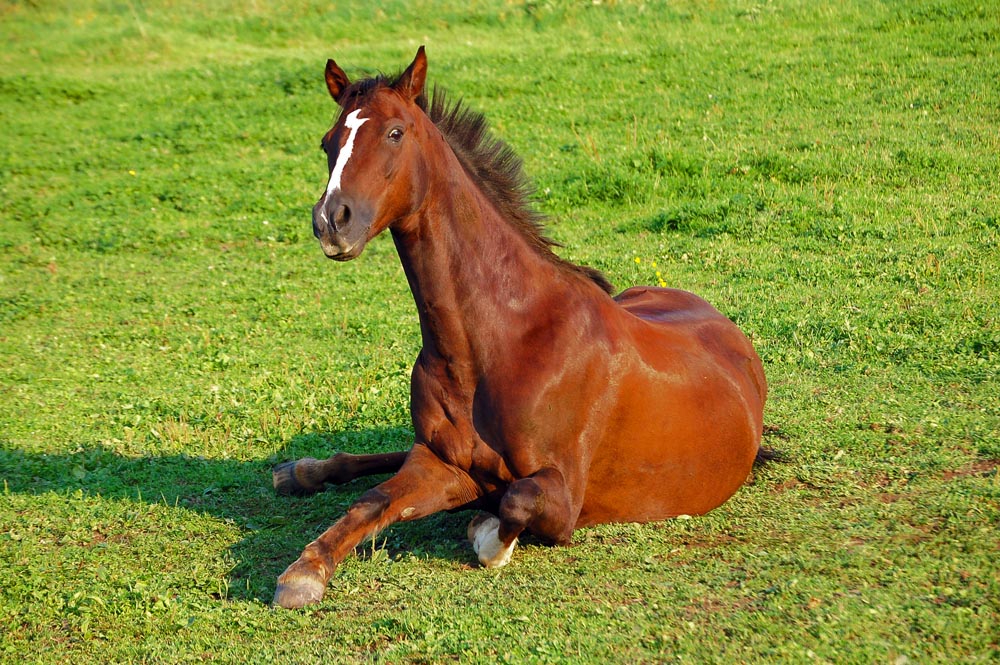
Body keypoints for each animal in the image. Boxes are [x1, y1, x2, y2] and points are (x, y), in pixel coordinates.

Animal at [270, 46, 768, 608]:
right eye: (328, 143)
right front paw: (305, 570)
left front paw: (484, 532)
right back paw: (302, 471)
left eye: (395, 132)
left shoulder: (561, 494)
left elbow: (514, 501)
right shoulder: (440, 462)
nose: (332, 221)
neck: (501, 339)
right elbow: (372, 502)